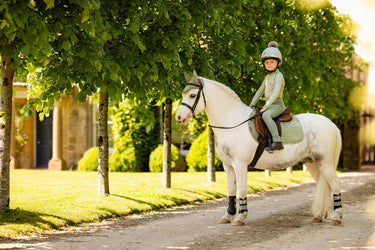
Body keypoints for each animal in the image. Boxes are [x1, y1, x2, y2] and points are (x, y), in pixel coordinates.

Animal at [176, 71, 344, 227]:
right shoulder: (228, 165)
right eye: (183, 94)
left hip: (325, 163)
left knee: (335, 184)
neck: (232, 121)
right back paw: (319, 215)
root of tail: (331, 124)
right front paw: (228, 215)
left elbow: (242, 190)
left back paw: (336, 217)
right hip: (312, 163)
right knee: (324, 185)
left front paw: (240, 217)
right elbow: (231, 190)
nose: (178, 117)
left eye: (192, 95)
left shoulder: (240, 164)